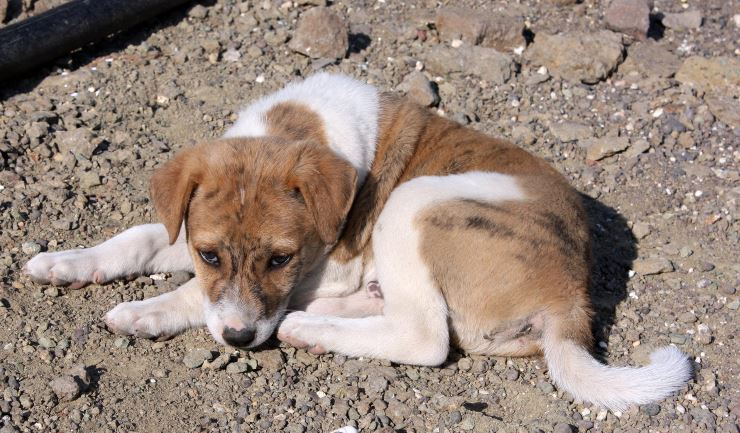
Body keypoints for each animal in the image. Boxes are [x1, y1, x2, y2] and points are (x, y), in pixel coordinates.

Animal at [24, 72, 692, 410]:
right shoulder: (187, 234)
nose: (239, 339)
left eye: (281, 258)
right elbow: (142, 236)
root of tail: (570, 298)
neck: (293, 126)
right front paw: (68, 262)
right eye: (210, 253)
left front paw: (147, 313)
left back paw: (308, 328)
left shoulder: (332, 260)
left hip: (411, 204)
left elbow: (193, 295)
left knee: (425, 337)